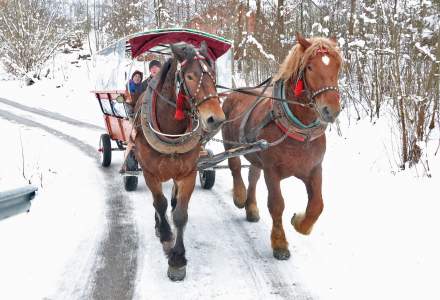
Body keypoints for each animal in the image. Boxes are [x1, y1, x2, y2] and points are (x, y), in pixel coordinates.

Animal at [132, 41, 225, 280]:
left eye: (213, 75)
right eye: (190, 76)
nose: (216, 119)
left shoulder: (188, 173)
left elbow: (180, 214)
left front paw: (177, 260)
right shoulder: (149, 172)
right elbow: (159, 203)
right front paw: (166, 237)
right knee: (159, 204)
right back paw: (160, 226)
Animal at [222, 31, 342, 258]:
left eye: (338, 66)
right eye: (310, 67)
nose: (331, 110)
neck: (298, 128)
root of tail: (235, 91)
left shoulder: (314, 168)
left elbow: (317, 205)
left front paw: (300, 222)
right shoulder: (272, 170)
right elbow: (276, 204)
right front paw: (279, 243)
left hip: (255, 154)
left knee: (252, 176)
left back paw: (251, 207)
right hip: (229, 142)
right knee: (234, 167)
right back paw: (240, 196)